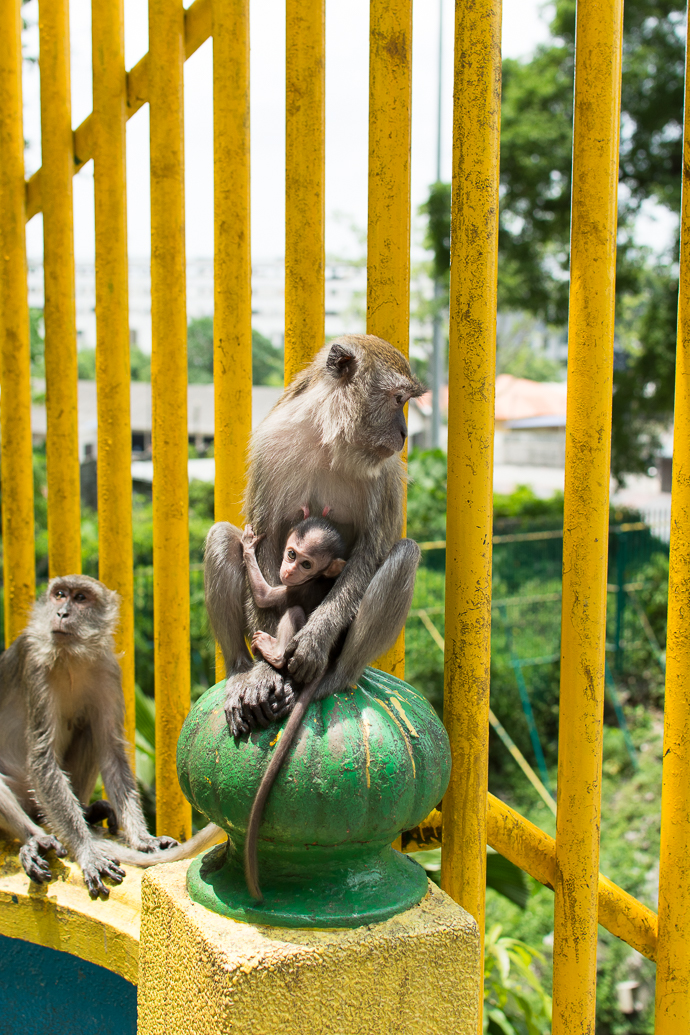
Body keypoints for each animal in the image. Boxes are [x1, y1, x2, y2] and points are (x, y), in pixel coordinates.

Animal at [244, 517, 351, 670]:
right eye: (292, 554)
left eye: (306, 565)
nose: (290, 572)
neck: (319, 577)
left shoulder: (300, 588)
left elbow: (263, 596)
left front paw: (248, 547)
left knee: (294, 611)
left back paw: (275, 655)